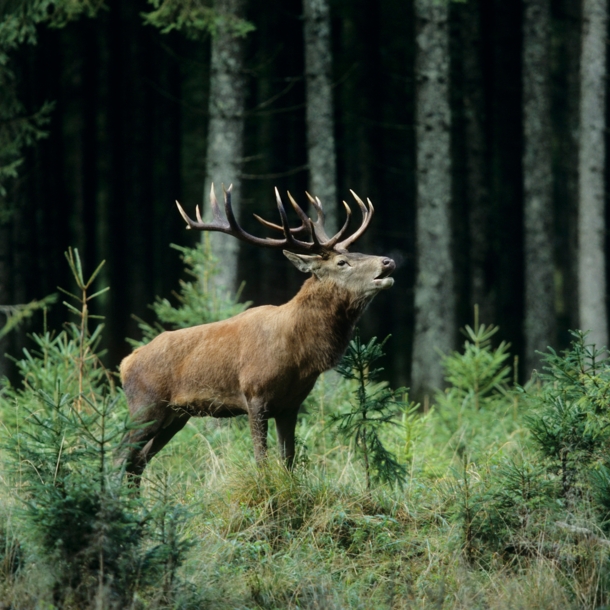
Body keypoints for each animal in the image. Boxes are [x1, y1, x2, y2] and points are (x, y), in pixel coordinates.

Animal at [119, 182, 394, 480]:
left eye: (358, 253)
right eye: (342, 262)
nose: (388, 261)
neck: (299, 356)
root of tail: (125, 363)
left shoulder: (291, 405)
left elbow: (288, 460)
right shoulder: (254, 394)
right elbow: (261, 459)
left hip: (176, 415)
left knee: (139, 461)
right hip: (145, 404)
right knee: (120, 455)